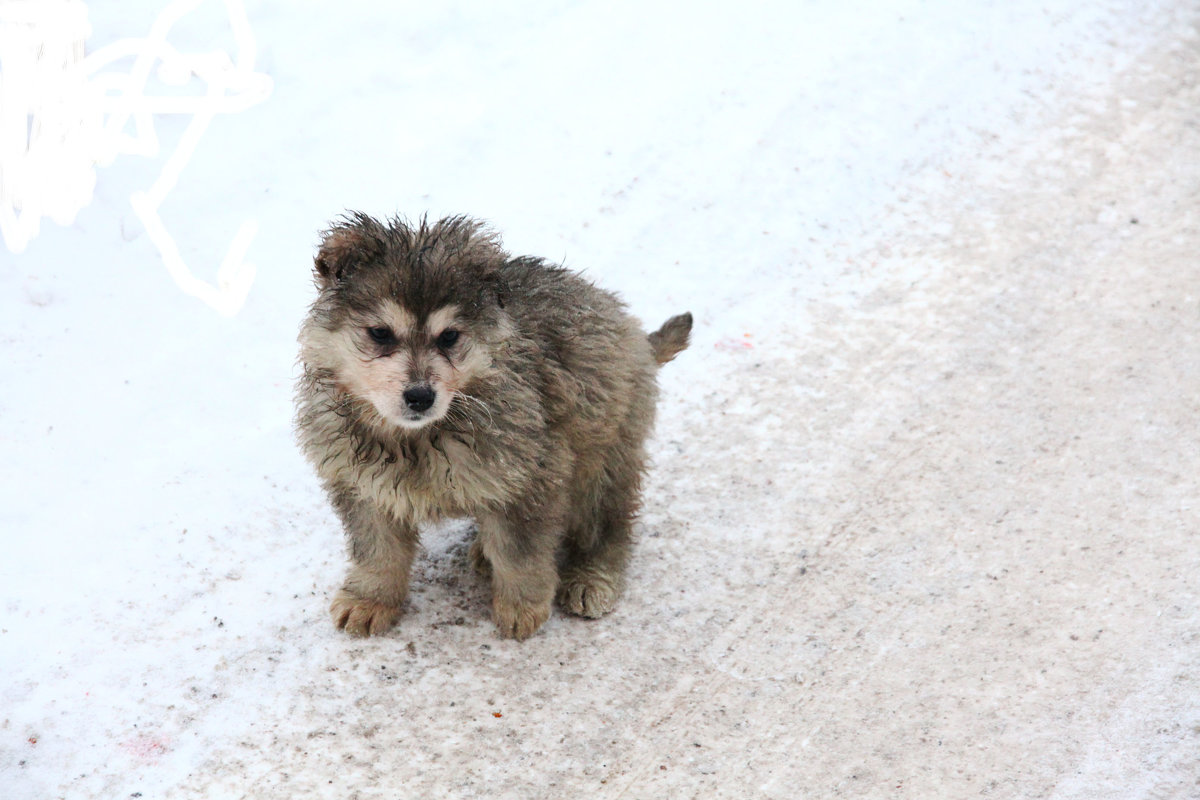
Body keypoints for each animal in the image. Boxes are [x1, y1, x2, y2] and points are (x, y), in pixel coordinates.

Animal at [297, 212, 696, 638]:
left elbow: (519, 552)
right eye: (379, 333)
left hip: (602, 454)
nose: (420, 396)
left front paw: (522, 604)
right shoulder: (361, 486)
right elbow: (376, 550)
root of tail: (637, 337)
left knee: (606, 524)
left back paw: (592, 576)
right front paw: (370, 598)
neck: (419, 437)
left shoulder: (531, 474)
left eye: (449, 337)